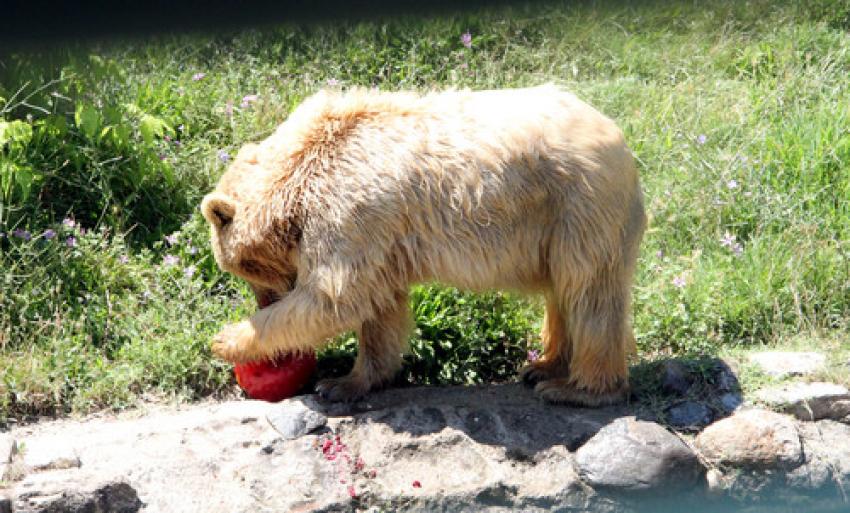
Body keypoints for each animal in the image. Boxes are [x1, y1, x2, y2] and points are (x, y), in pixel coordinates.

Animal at [202, 83, 644, 404]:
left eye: (239, 268)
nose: (264, 302)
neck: (301, 167)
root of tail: (621, 143)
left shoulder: (347, 209)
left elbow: (334, 297)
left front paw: (227, 340)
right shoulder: (381, 237)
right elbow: (379, 306)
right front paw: (348, 382)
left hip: (577, 208)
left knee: (590, 293)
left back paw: (577, 389)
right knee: (565, 293)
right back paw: (544, 366)